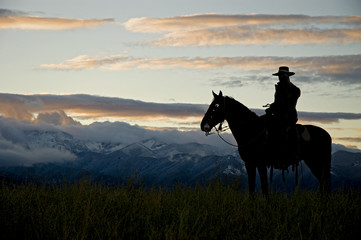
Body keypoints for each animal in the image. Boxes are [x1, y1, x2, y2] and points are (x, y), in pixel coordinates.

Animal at [201, 91, 330, 196]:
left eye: (216, 106)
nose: (203, 125)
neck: (252, 130)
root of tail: (326, 134)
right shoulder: (250, 164)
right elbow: (252, 189)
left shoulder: (260, 163)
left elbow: (264, 188)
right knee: (323, 182)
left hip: (315, 161)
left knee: (324, 182)